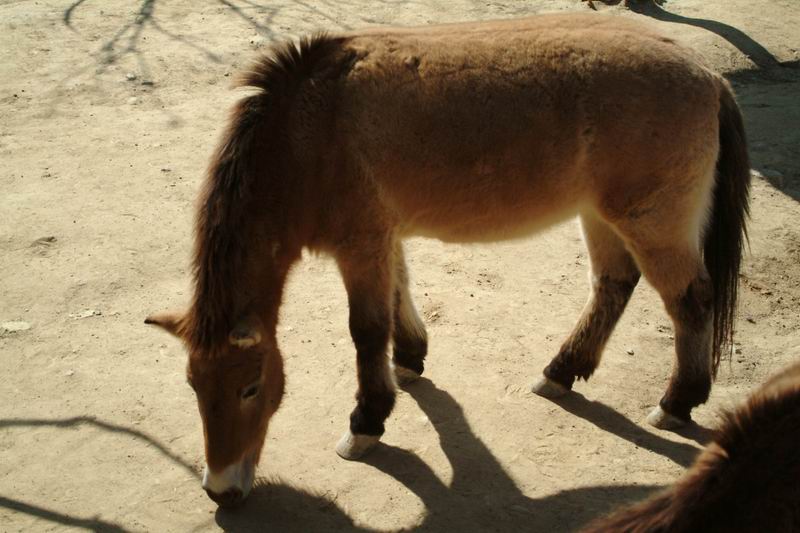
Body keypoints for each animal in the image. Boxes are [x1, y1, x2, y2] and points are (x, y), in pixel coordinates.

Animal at [144, 11, 752, 502]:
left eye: (249, 387)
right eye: (193, 386)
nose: (221, 489)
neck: (307, 132)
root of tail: (706, 74)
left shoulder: (361, 247)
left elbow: (366, 330)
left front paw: (367, 421)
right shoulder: (383, 240)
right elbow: (399, 299)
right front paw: (409, 359)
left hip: (652, 224)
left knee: (689, 302)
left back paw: (677, 402)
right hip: (599, 216)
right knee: (614, 284)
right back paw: (562, 370)